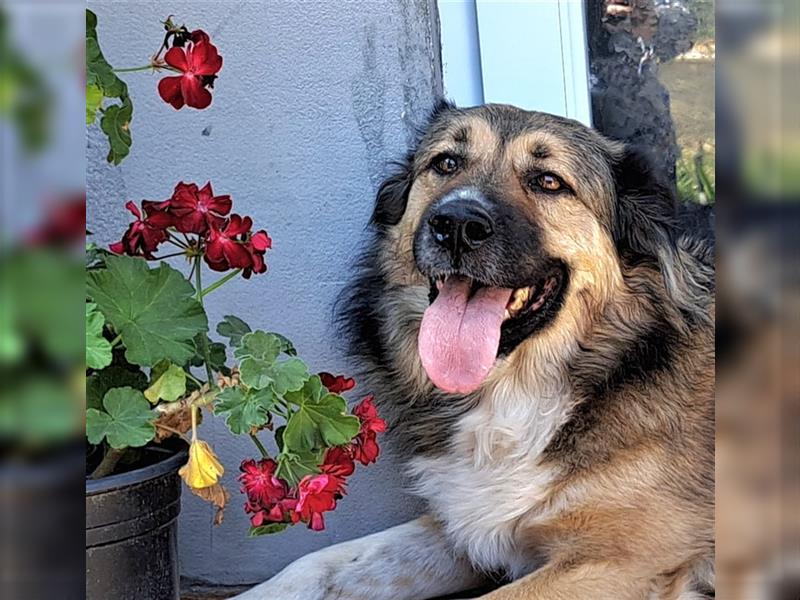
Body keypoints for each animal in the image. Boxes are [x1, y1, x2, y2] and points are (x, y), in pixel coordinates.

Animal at [236, 103, 712, 600]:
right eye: (446, 163)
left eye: (549, 181)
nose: (457, 225)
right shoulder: (467, 522)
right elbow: (313, 567)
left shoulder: (620, 561)